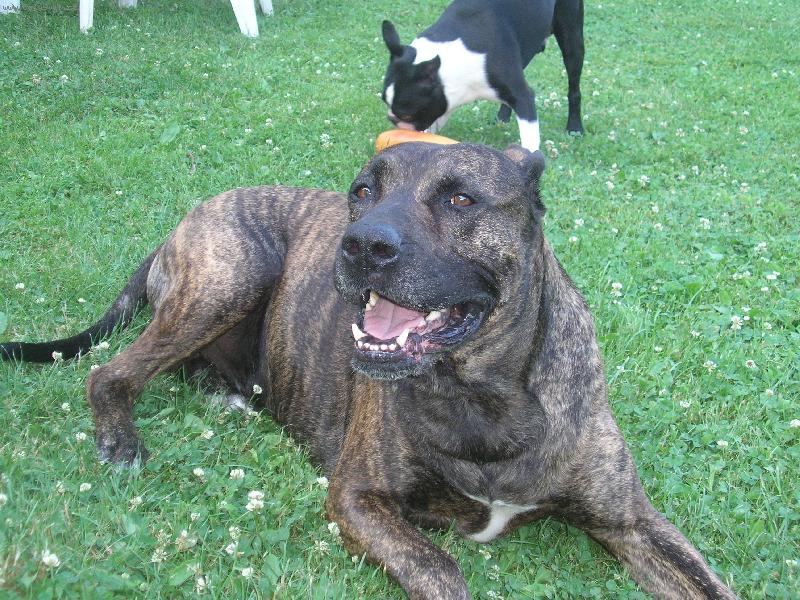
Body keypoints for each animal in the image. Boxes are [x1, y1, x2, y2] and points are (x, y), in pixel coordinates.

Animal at [2, 143, 736, 599]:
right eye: (362, 191)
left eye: (461, 200)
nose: (360, 244)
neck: (485, 395)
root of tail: (183, 222)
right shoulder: (358, 498)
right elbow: (441, 569)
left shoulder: (632, 523)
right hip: (228, 277)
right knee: (112, 373)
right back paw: (121, 436)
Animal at [381, 0, 585, 152]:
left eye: (406, 115)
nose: (392, 118)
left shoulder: (523, 97)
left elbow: (530, 141)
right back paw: (502, 117)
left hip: (572, 38)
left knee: (574, 87)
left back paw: (575, 127)